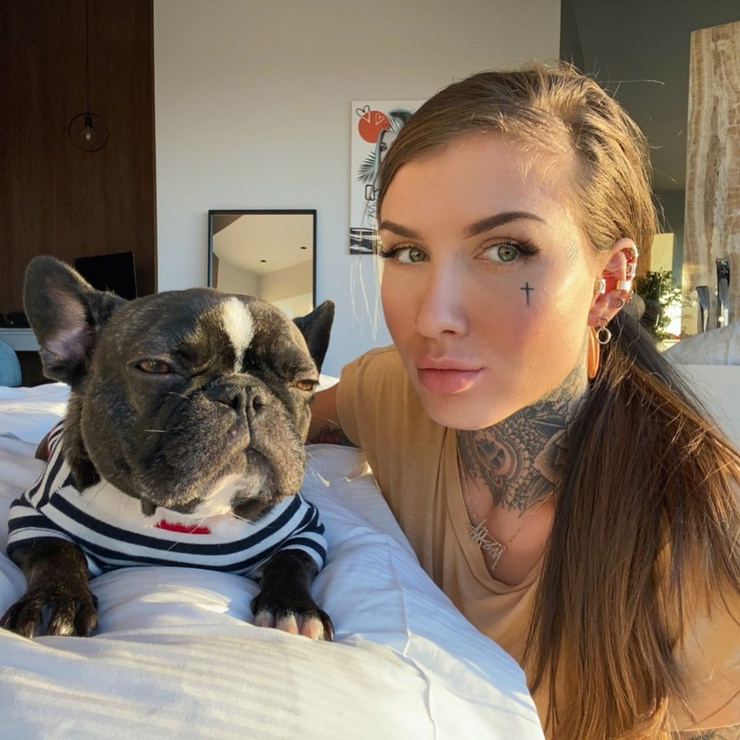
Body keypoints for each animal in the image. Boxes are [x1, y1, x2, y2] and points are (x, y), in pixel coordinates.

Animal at [1, 256, 335, 640]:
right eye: (156, 366)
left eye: (306, 383)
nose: (246, 394)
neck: (184, 519)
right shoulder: (30, 517)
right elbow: (57, 551)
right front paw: (55, 601)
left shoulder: (305, 529)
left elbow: (291, 560)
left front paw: (293, 608)